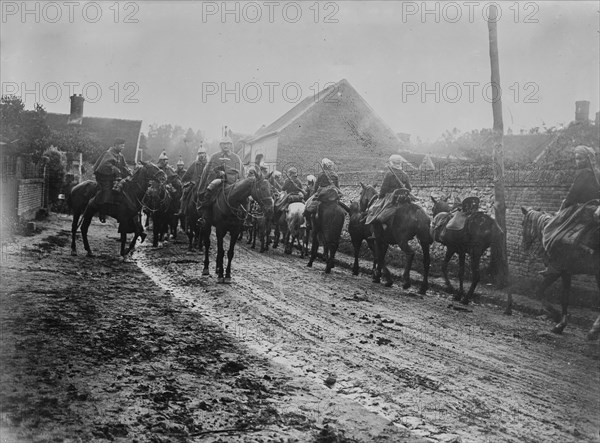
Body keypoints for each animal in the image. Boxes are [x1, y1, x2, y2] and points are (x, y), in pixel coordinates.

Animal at [516, 206, 596, 338]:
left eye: (523, 223)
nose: (524, 245)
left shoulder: (556, 270)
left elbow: (539, 291)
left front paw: (556, 316)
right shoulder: (565, 272)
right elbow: (565, 298)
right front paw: (561, 324)